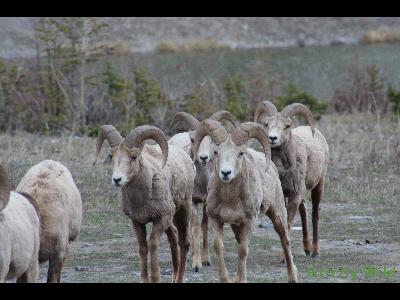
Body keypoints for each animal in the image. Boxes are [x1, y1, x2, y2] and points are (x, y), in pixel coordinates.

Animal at [92, 124, 195, 284]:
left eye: (134, 157)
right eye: (111, 156)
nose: (117, 179)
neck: (141, 199)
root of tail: (185, 156)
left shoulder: (160, 219)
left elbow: (152, 244)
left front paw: (155, 277)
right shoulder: (137, 221)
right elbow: (142, 248)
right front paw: (145, 279)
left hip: (183, 210)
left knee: (184, 242)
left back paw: (179, 278)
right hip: (170, 219)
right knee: (173, 236)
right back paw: (173, 276)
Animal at [192, 118, 298, 282]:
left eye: (240, 153)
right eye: (216, 152)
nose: (226, 173)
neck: (230, 199)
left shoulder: (249, 221)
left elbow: (243, 250)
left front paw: (241, 280)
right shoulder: (216, 219)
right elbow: (219, 247)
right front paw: (227, 279)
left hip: (278, 213)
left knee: (285, 241)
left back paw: (292, 277)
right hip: (237, 226)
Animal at [255, 102, 330, 256]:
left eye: (287, 126)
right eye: (267, 124)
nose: (272, 138)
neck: (283, 170)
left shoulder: (294, 195)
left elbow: (288, 224)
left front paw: (283, 258)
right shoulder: (285, 195)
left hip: (319, 185)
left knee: (314, 214)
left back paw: (315, 251)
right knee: (304, 212)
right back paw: (307, 248)